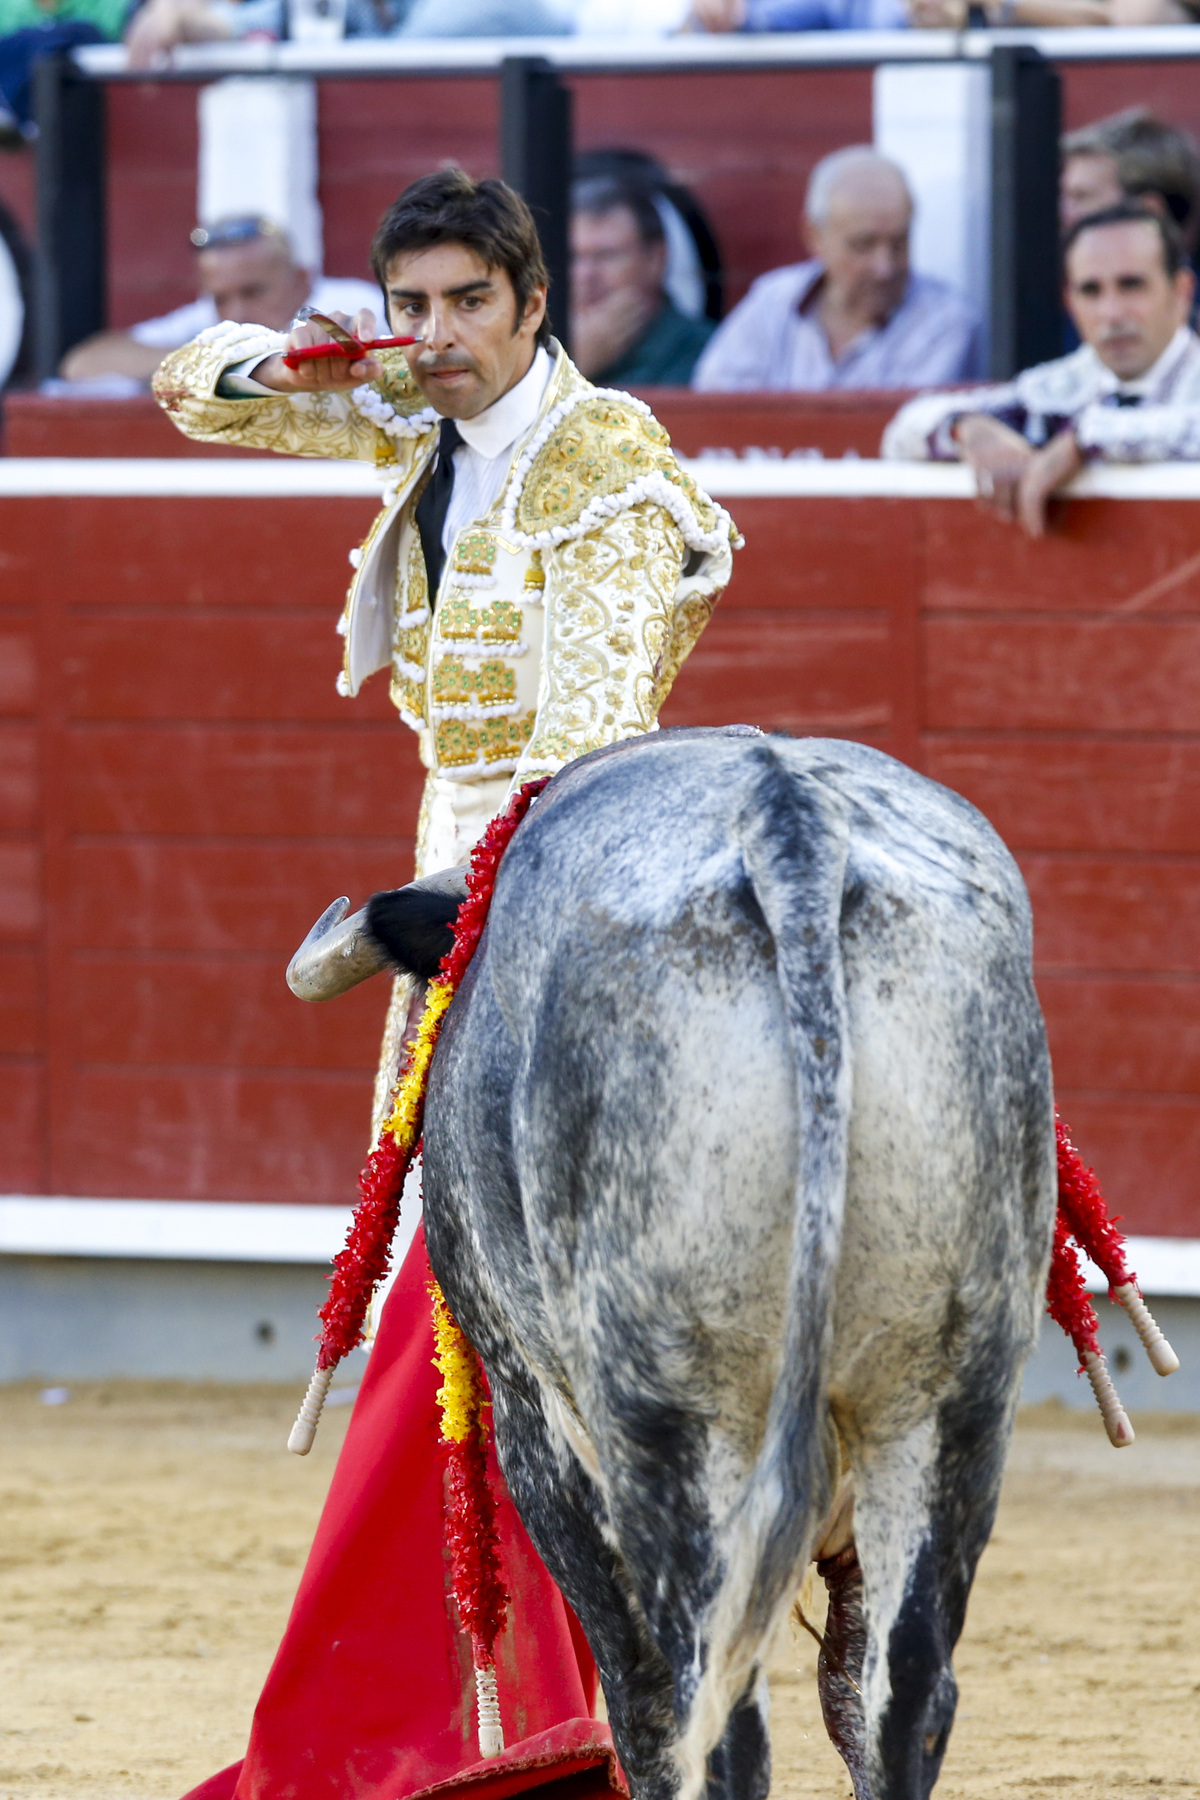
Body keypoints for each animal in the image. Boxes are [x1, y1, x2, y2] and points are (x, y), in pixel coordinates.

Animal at [341, 727, 1057, 1800]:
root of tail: (792, 826)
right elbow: (849, 1685)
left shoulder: (536, 1423)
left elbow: (639, 1689)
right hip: (949, 1399)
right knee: (909, 1695)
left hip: (678, 1415)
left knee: (710, 1712)